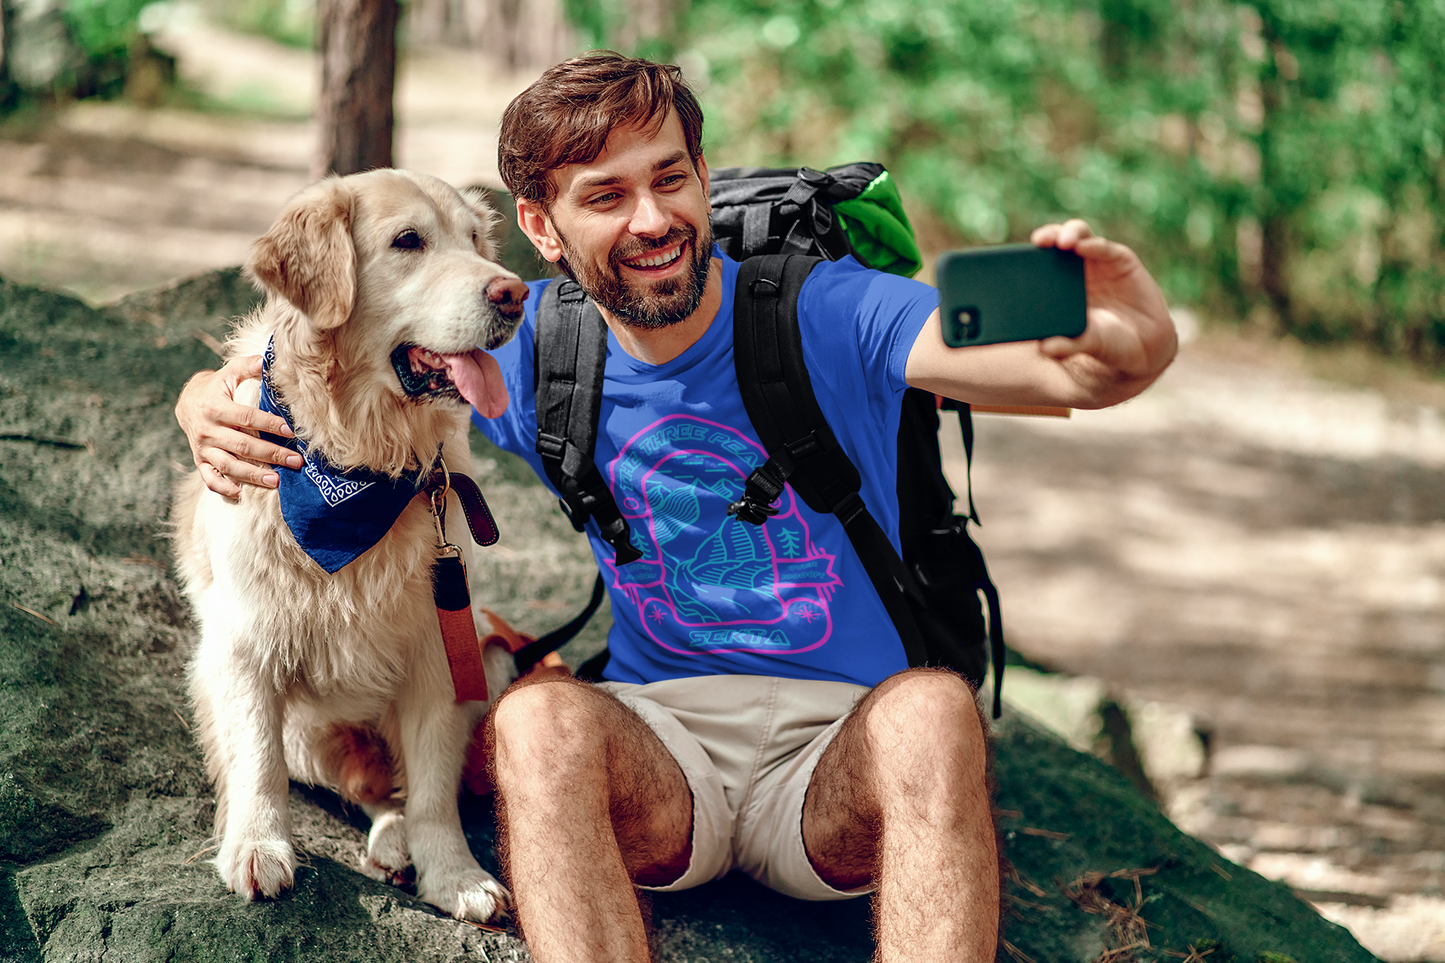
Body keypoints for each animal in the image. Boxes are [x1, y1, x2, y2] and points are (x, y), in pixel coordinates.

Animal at [171, 168, 528, 919]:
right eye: (408, 241)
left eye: (474, 239)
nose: (512, 292)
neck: (360, 461)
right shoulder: (243, 643)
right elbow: (256, 760)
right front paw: (256, 845)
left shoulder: (439, 650)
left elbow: (432, 789)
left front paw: (453, 874)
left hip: (490, 652)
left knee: (395, 788)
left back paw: (398, 843)